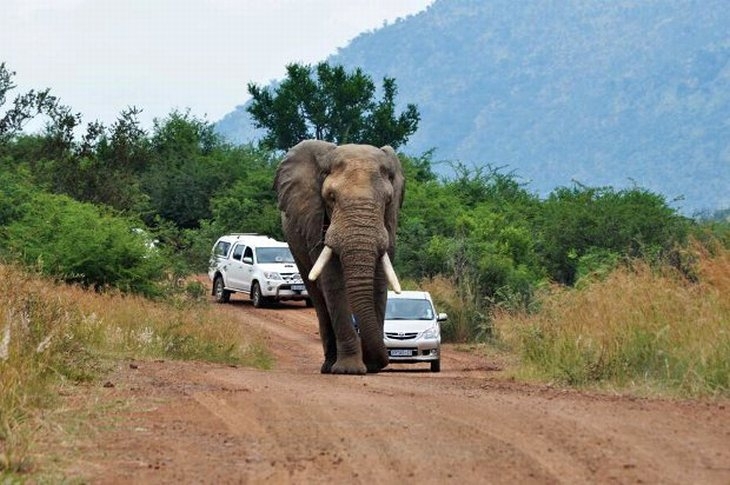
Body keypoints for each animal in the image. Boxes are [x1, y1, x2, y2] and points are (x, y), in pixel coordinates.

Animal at [272, 140, 404, 374]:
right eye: (331, 198)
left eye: (388, 200)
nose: (381, 362)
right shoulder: (316, 224)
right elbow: (333, 282)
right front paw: (349, 370)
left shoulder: (388, 225)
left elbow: (379, 282)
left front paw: (370, 366)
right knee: (318, 297)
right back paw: (328, 366)